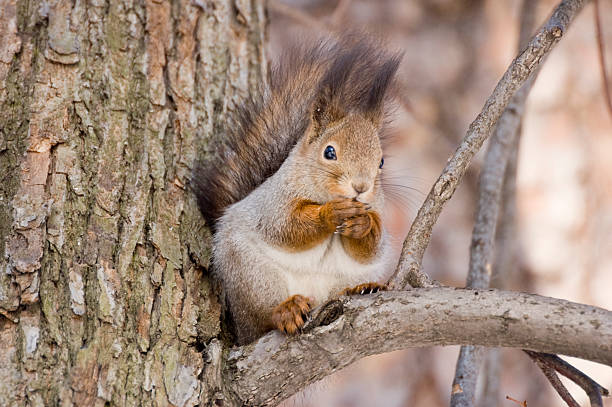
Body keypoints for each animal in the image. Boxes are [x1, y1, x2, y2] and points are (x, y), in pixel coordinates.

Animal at [192, 36, 402, 346]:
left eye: (381, 162)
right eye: (329, 152)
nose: (361, 188)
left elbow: (370, 249)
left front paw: (362, 223)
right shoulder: (274, 203)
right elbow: (286, 227)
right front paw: (331, 212)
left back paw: (362, 288)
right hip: (251, 276)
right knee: (262, 318)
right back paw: (286, 310)